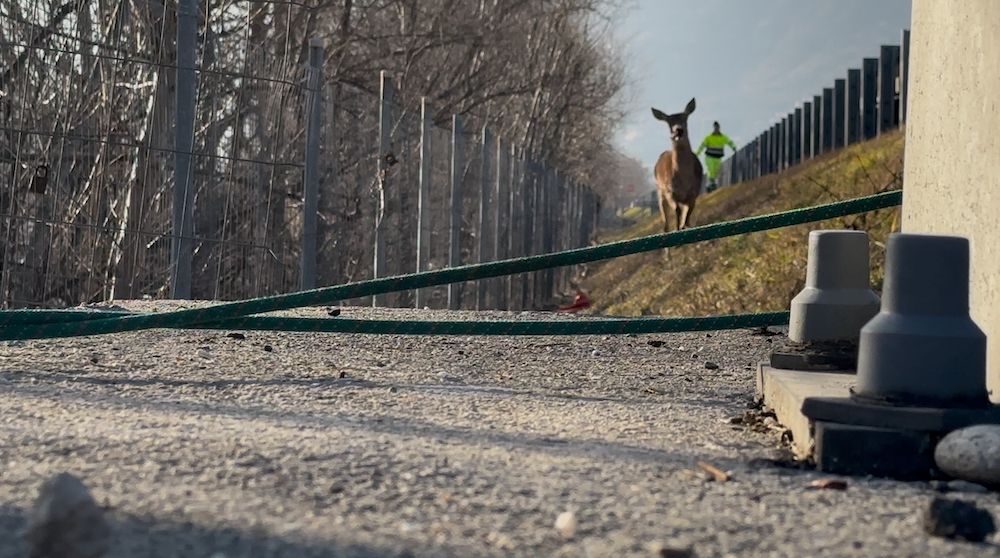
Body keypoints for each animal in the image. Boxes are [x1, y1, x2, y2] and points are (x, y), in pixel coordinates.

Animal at [648, 98, 704, 234]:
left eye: (685, 119)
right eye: (669, 123)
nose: (678, 130)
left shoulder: (695, 191)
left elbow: (688, 213)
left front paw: (685, 225)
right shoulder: (670, 191)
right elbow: (677, 210)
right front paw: (678, 227)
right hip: (660, 192)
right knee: (665, 219)